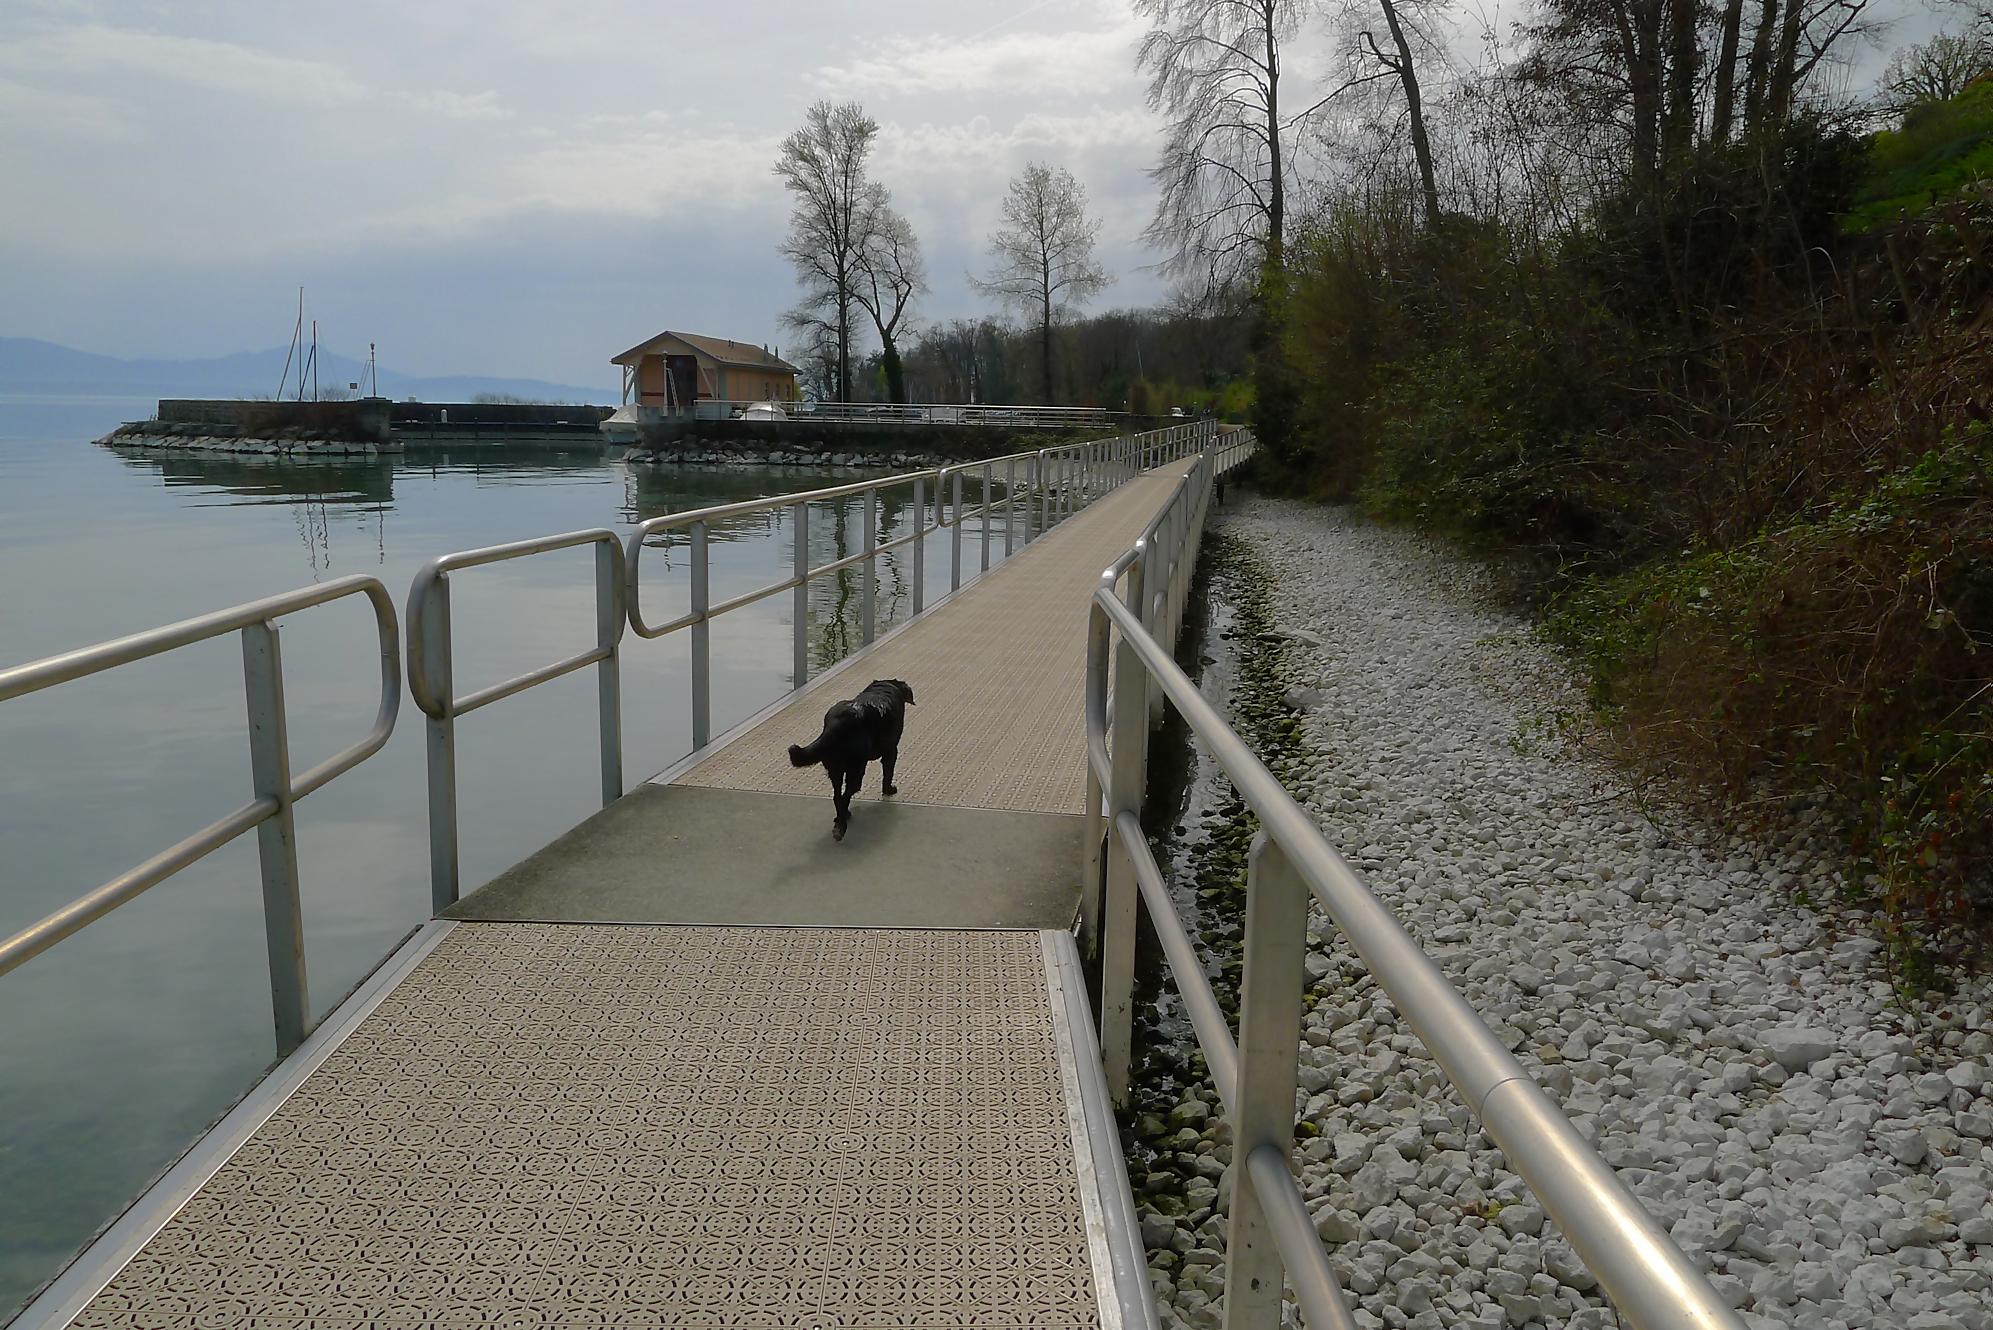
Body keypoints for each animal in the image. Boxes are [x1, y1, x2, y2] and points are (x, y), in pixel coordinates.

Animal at [787, 679, 915, 840]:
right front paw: (889, 790)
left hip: (835, 769)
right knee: (845, 796)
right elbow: (888, 773)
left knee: (837, 796)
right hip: (856, 769)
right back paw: (840, 827)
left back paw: (842, 818)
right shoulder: (891, 750)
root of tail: (838, 724)